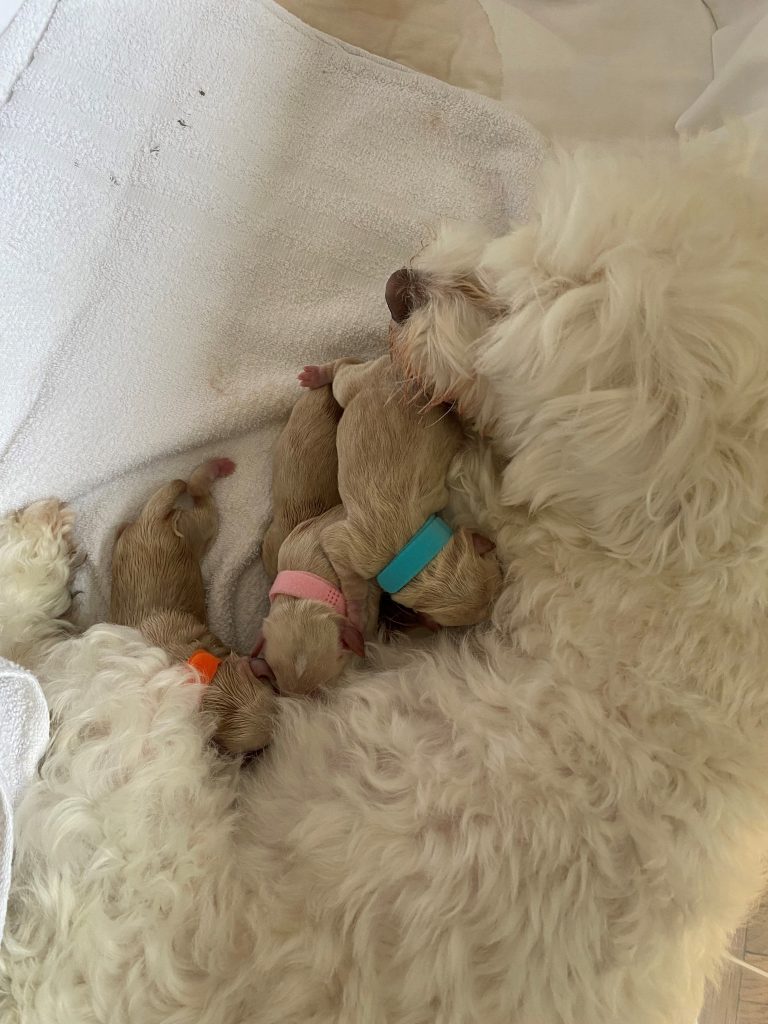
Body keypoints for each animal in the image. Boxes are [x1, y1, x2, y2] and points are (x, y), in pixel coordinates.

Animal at [111, 458, 277, 753]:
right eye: (255, 751)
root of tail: (151, 519)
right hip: (197, 529)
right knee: (199, 494)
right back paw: (217, 467)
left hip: (183, 531)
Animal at [299, 355, 501, 633]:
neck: (412, 546)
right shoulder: (345, 545)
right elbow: (352, 581)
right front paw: (357, 614)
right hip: (354, 384)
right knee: (342, 369)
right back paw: (318, 375)